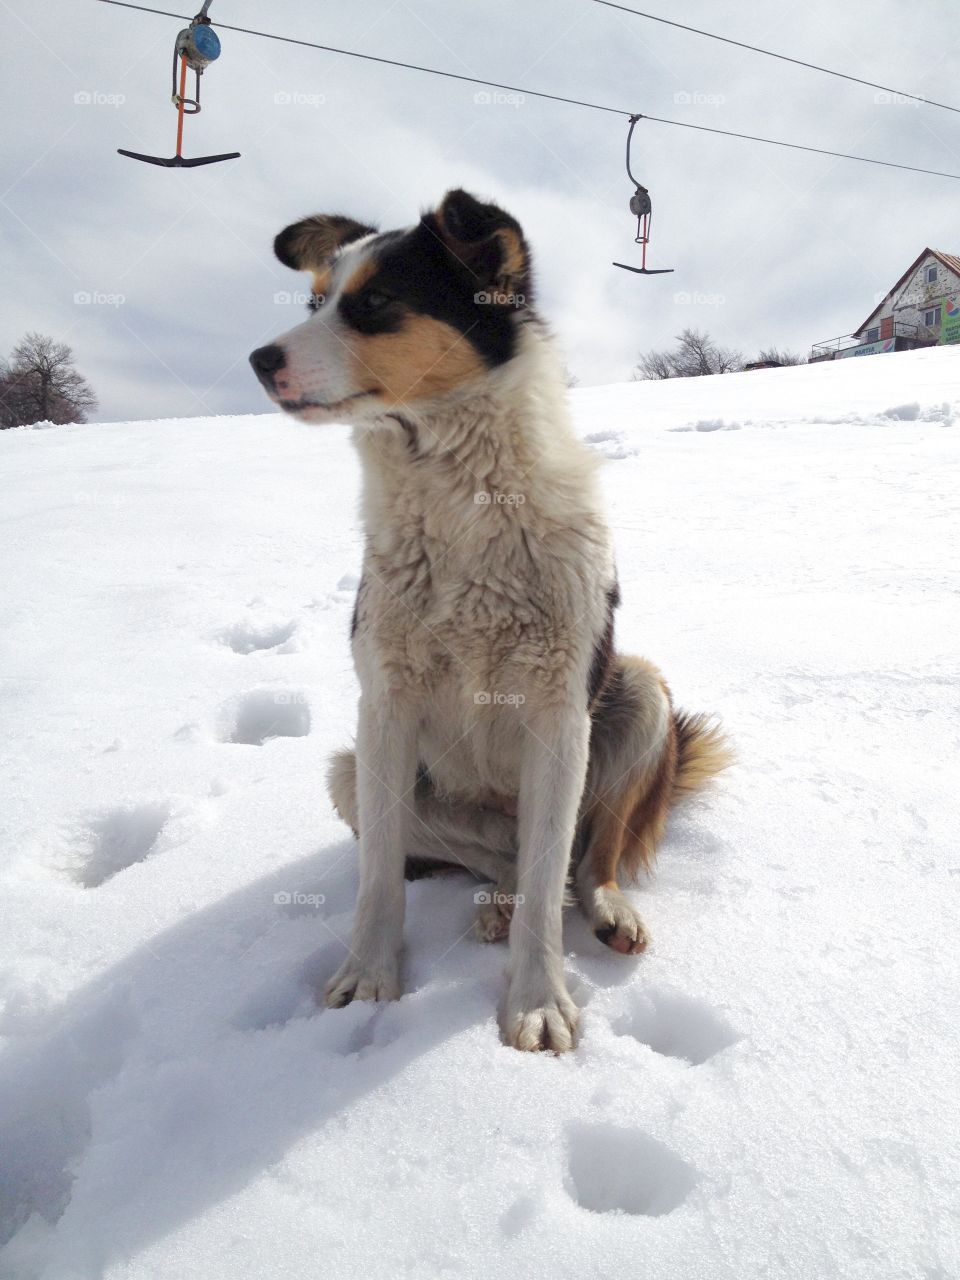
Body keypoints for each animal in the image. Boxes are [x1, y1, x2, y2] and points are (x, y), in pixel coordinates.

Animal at [252, 186, 732, 1049]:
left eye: (376, 302)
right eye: (315, 301)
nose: (258, 360)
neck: (459, 501)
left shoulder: (559, 713)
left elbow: (550, 894)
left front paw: (538, 1001)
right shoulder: (385, 704)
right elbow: (379, 880)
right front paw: (369, 978)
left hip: (638, 690)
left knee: (584, 859)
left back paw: (607, 910)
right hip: (351, 772)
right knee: (506, 862)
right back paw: (496, 903)